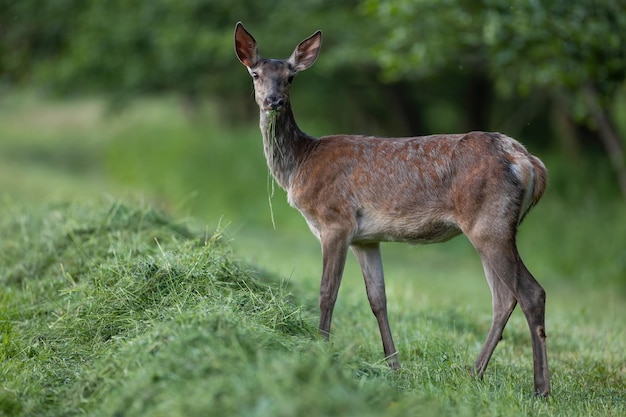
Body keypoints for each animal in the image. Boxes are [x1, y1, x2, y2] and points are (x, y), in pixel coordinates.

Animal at [235, 21, 552, 394]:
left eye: (291, 77)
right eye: (256, 74)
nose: (274, 100)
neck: (300, 164)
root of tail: (529, 162)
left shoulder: (335, 221)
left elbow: (328, 291)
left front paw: (320, 349)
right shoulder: (366, 238)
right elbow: (378, 299)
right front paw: (394, 365)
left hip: (489, 221)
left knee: (530, 292)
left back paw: (541, 387)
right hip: (493, 226)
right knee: (503, 298)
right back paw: (474, 373)